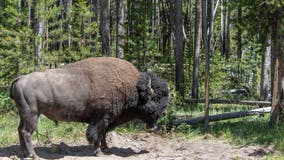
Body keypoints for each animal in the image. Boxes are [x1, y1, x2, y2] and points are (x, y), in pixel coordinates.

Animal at [10, 57, 169, 159]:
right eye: (155, 98)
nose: (164, 113)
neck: (133, 87)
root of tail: (20, 79)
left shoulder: (107, 119)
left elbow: (103, 134)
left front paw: (106, 148)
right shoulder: (100, 118)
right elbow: (96, 135)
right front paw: (99, 152)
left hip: (24, 115)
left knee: (20, 130)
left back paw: (25, 154)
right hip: (32, 115)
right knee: (26, 133)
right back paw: (33, 155)